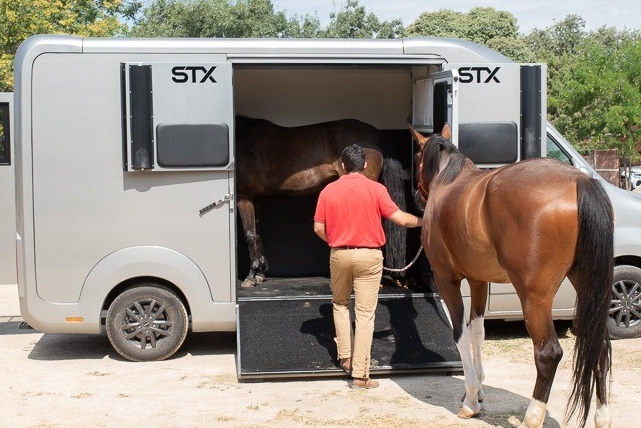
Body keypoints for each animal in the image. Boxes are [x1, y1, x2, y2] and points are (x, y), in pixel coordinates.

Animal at [235, 116, 407, 288]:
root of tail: (374, 133)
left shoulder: (244, 198)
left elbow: (250, 235)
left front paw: (251, 275)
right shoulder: (255, 199)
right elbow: (257, 234)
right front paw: (260, 274)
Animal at [411, 124, 613, 428]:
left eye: (417, 157)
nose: (417, 196)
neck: (449, 182)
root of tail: (578, 180)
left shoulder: (447, 280)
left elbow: (460, 333)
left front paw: (470, 401)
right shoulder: (478, 280)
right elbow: (477, 330)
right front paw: (478, 391)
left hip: (534, 298)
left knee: (548, 353)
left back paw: (532, 417)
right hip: (588, 285)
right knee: (599, 345)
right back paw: (602, 417)